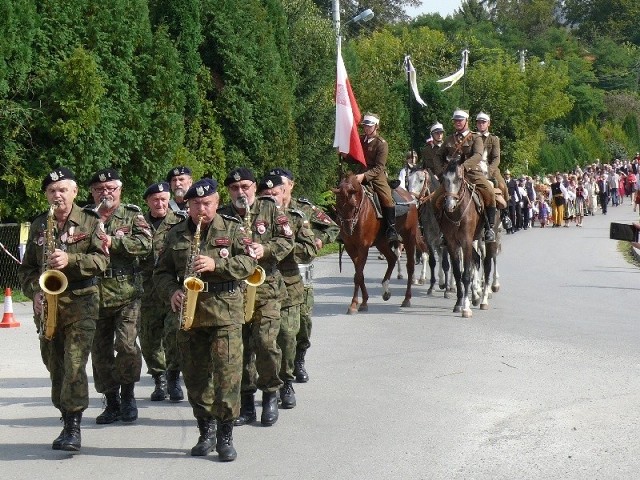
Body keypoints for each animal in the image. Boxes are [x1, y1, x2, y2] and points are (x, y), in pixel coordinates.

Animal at [332, 173, 428, 316]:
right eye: (338, 207)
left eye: (353, 206)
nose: (348, 230)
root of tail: (411, 199)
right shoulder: (350, 248)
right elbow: (360, 275)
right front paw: (364, 302)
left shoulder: (363, 247)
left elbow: (358, 276)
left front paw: (354, 304)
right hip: (381, 243)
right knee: (392, 259)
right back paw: (386, 290)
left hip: (408, 239)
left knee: (410, 266)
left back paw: (406, 299)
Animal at [438, 161, 498, 318]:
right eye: (443, 179)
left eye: (459, 178)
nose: (449, 205)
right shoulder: (452, 244)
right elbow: (457, 273)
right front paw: (459, 303)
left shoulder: (465, 242)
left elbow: (466, 274)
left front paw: (466, 307)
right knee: (477, 260)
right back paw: (476, 297)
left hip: (488, 242)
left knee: (487, 265)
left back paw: (484, 299)